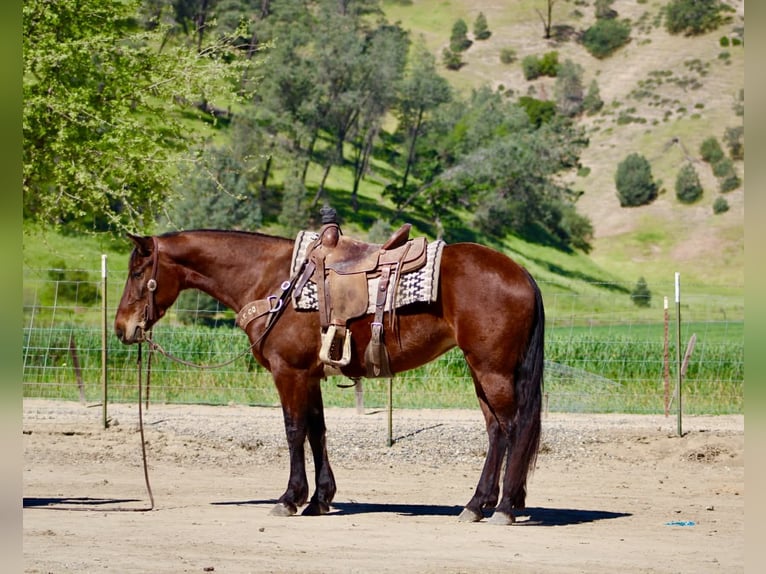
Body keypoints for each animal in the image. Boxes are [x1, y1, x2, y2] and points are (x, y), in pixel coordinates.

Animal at [114, 228, 545, 525]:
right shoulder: (311, 375)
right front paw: (320, 499)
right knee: (496, 430)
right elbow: (317, 431)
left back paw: (503, 508)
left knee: (513, 428)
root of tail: (522, 273)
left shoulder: (289, 373)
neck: (272, 280)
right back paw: (478, 504)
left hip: (492, 370)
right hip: (482, 372)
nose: (122, 328)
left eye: (137, 271)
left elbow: (294, 430)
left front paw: (290, 498)